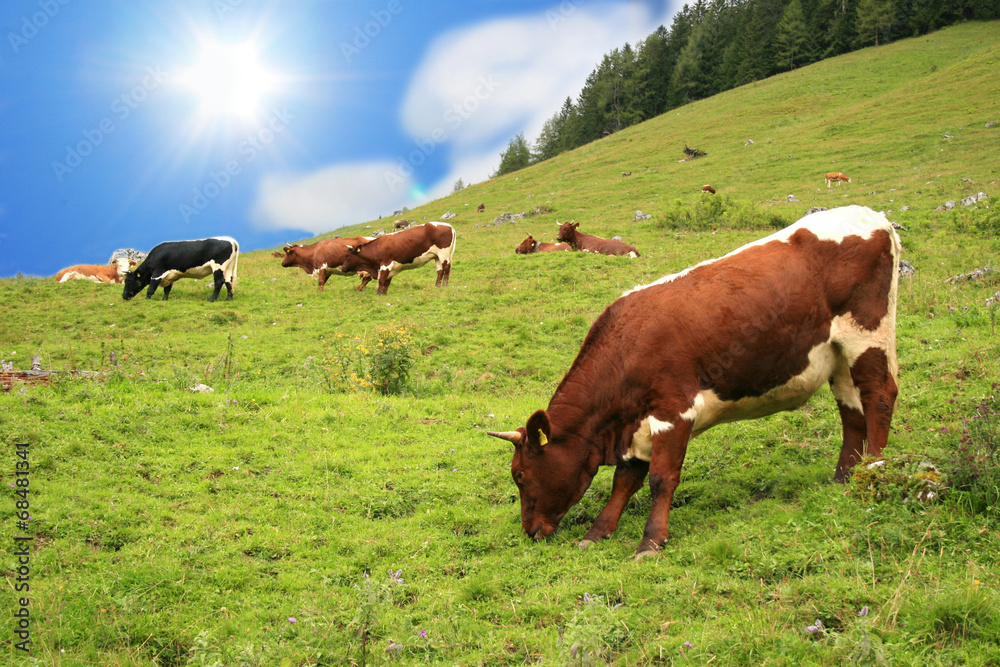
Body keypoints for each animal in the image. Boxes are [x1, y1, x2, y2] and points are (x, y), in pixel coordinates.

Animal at [488, 205, 900, 558]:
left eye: (520, 474)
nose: (530, 531)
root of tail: (871, 214)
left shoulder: (673, 410)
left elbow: (660, 478)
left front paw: (650, 542)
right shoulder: (636, 423)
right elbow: (624, 481)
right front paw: (597, 532)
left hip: (867, 336)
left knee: (879, 396)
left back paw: (873, 468)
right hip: (838, 356)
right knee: (852, 411)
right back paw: (842, 477)